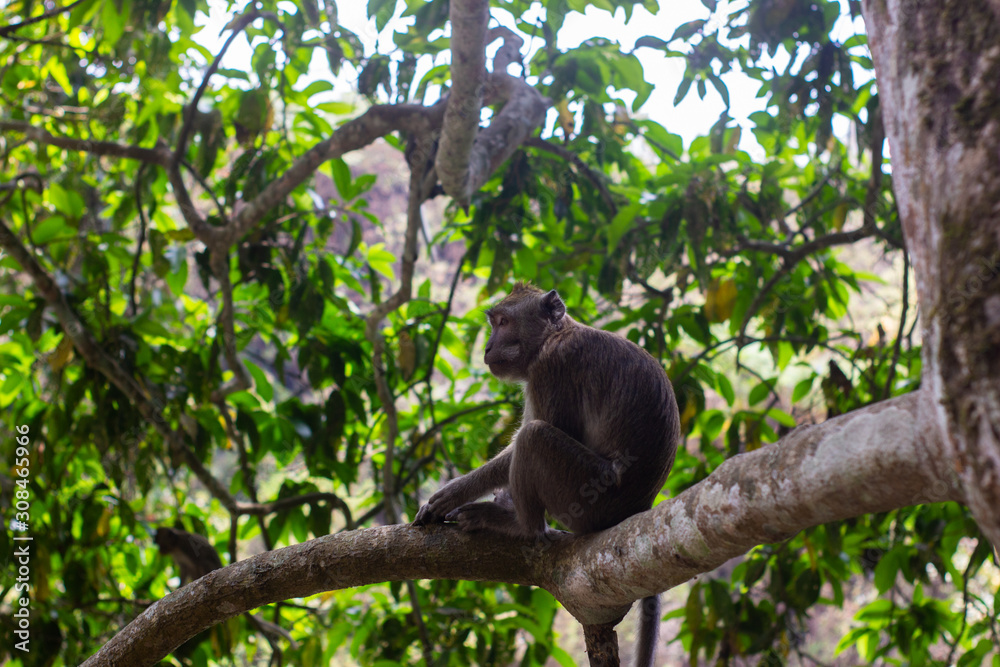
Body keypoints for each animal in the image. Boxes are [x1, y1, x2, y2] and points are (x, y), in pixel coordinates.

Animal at [413, 283, 679, 667]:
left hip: (586, 495)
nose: (488, 348)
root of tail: (638, 507)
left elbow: (540, 431)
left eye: (504, 322)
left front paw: (454, 492)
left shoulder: (552, 368)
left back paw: (518, 526)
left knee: (534, 437)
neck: (555, 335)